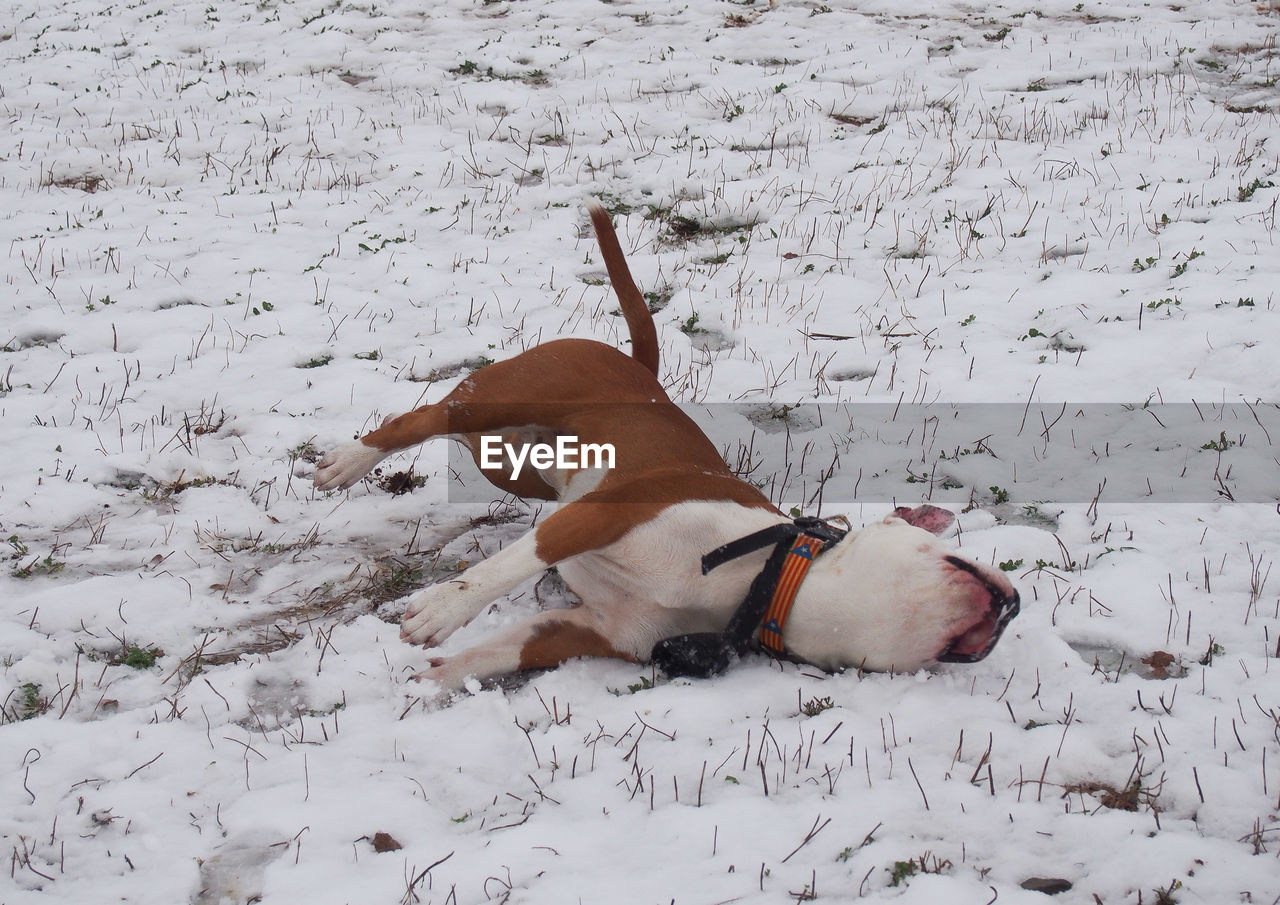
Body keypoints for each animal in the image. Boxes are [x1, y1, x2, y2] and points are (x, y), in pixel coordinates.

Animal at [312, 202, 1018, 691]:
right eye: (955, 556)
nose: (1013, 608)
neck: (748, 581)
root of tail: (638, 369)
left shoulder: (595, 631)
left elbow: (503, 648)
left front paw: (437, 675)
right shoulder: (605, 513)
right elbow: (510, 564)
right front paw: (441, 609)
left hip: (511, 464)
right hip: (509, 398)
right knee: (423, 417)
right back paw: (350, 462)